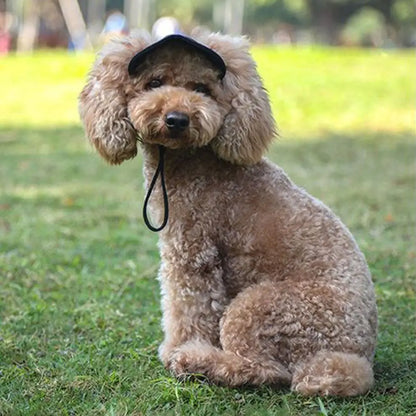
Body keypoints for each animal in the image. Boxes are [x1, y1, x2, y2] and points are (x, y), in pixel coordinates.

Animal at [79, 32, 378, 396]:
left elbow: (187, 306)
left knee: (266, 369)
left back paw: (197, 362)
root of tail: (356, 356)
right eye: (154, 83)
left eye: (202, 88)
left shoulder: (192, 252)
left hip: (261, 307)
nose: (177, 119)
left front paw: (176, 348)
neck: (191, 158)